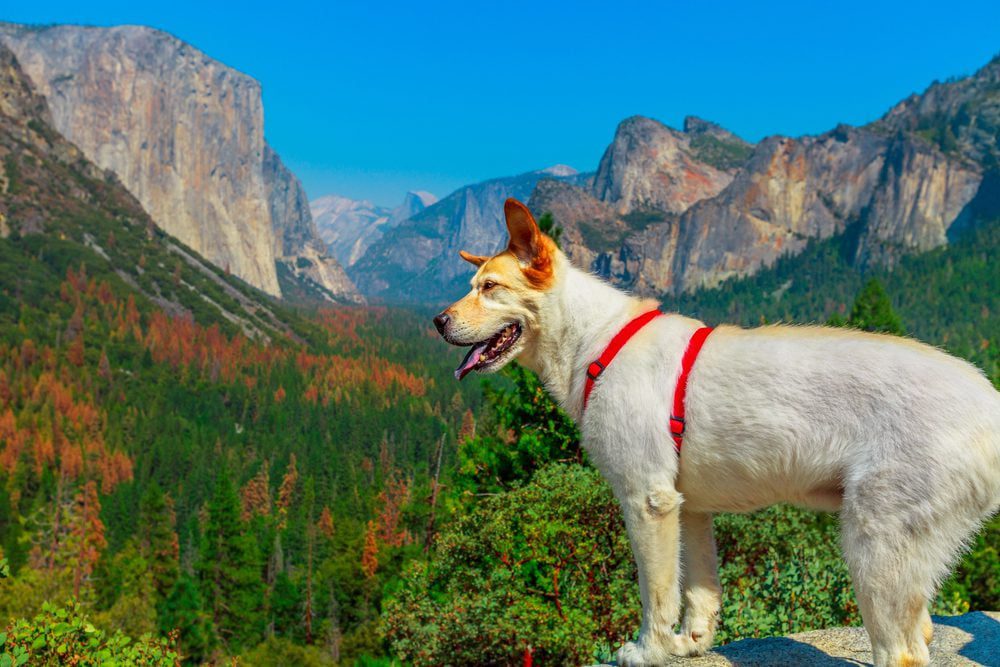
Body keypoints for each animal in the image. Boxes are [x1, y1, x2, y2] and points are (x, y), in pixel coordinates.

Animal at [434, 200, 1000, 667]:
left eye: (490, 288)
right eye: (472, 284)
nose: (437, 322)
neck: (596, 340)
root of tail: (987, 400)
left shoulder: (647, 501)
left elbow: (656, 593)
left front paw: (650, 651)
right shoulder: (689, 509)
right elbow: (699, 591)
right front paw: (690, 643)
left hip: (873, 546)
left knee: (901, 652)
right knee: (923, 629)